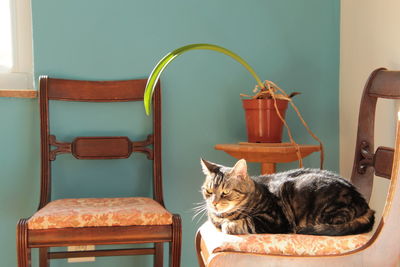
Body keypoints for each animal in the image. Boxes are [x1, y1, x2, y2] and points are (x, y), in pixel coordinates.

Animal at [200, 159, 376, 237]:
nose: (214, 203)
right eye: (208, 191)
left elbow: (246, 222)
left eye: (225, 192)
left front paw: (230, 225)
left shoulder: (273, 219)